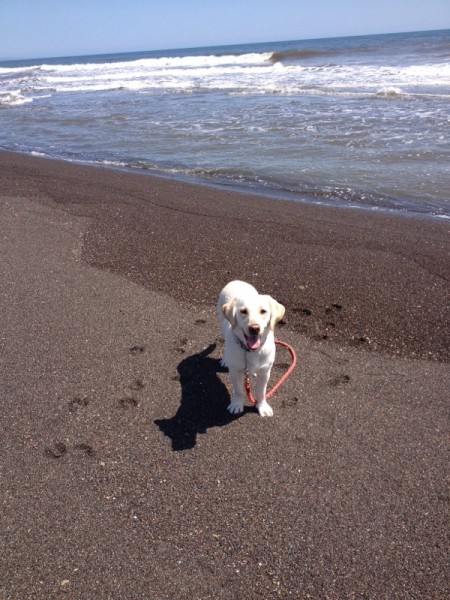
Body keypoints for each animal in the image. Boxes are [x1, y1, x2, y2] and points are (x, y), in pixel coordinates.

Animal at [218, 282, 284, 418]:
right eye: (243, 311)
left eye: (263, 311)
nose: (254, 328)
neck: (250, 351)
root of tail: (236, 280)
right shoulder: (235, 371)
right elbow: (238, 390)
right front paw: (237, 404)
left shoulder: (265, 372)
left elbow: (261, 392)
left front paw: (262, 406)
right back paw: (225, 360)